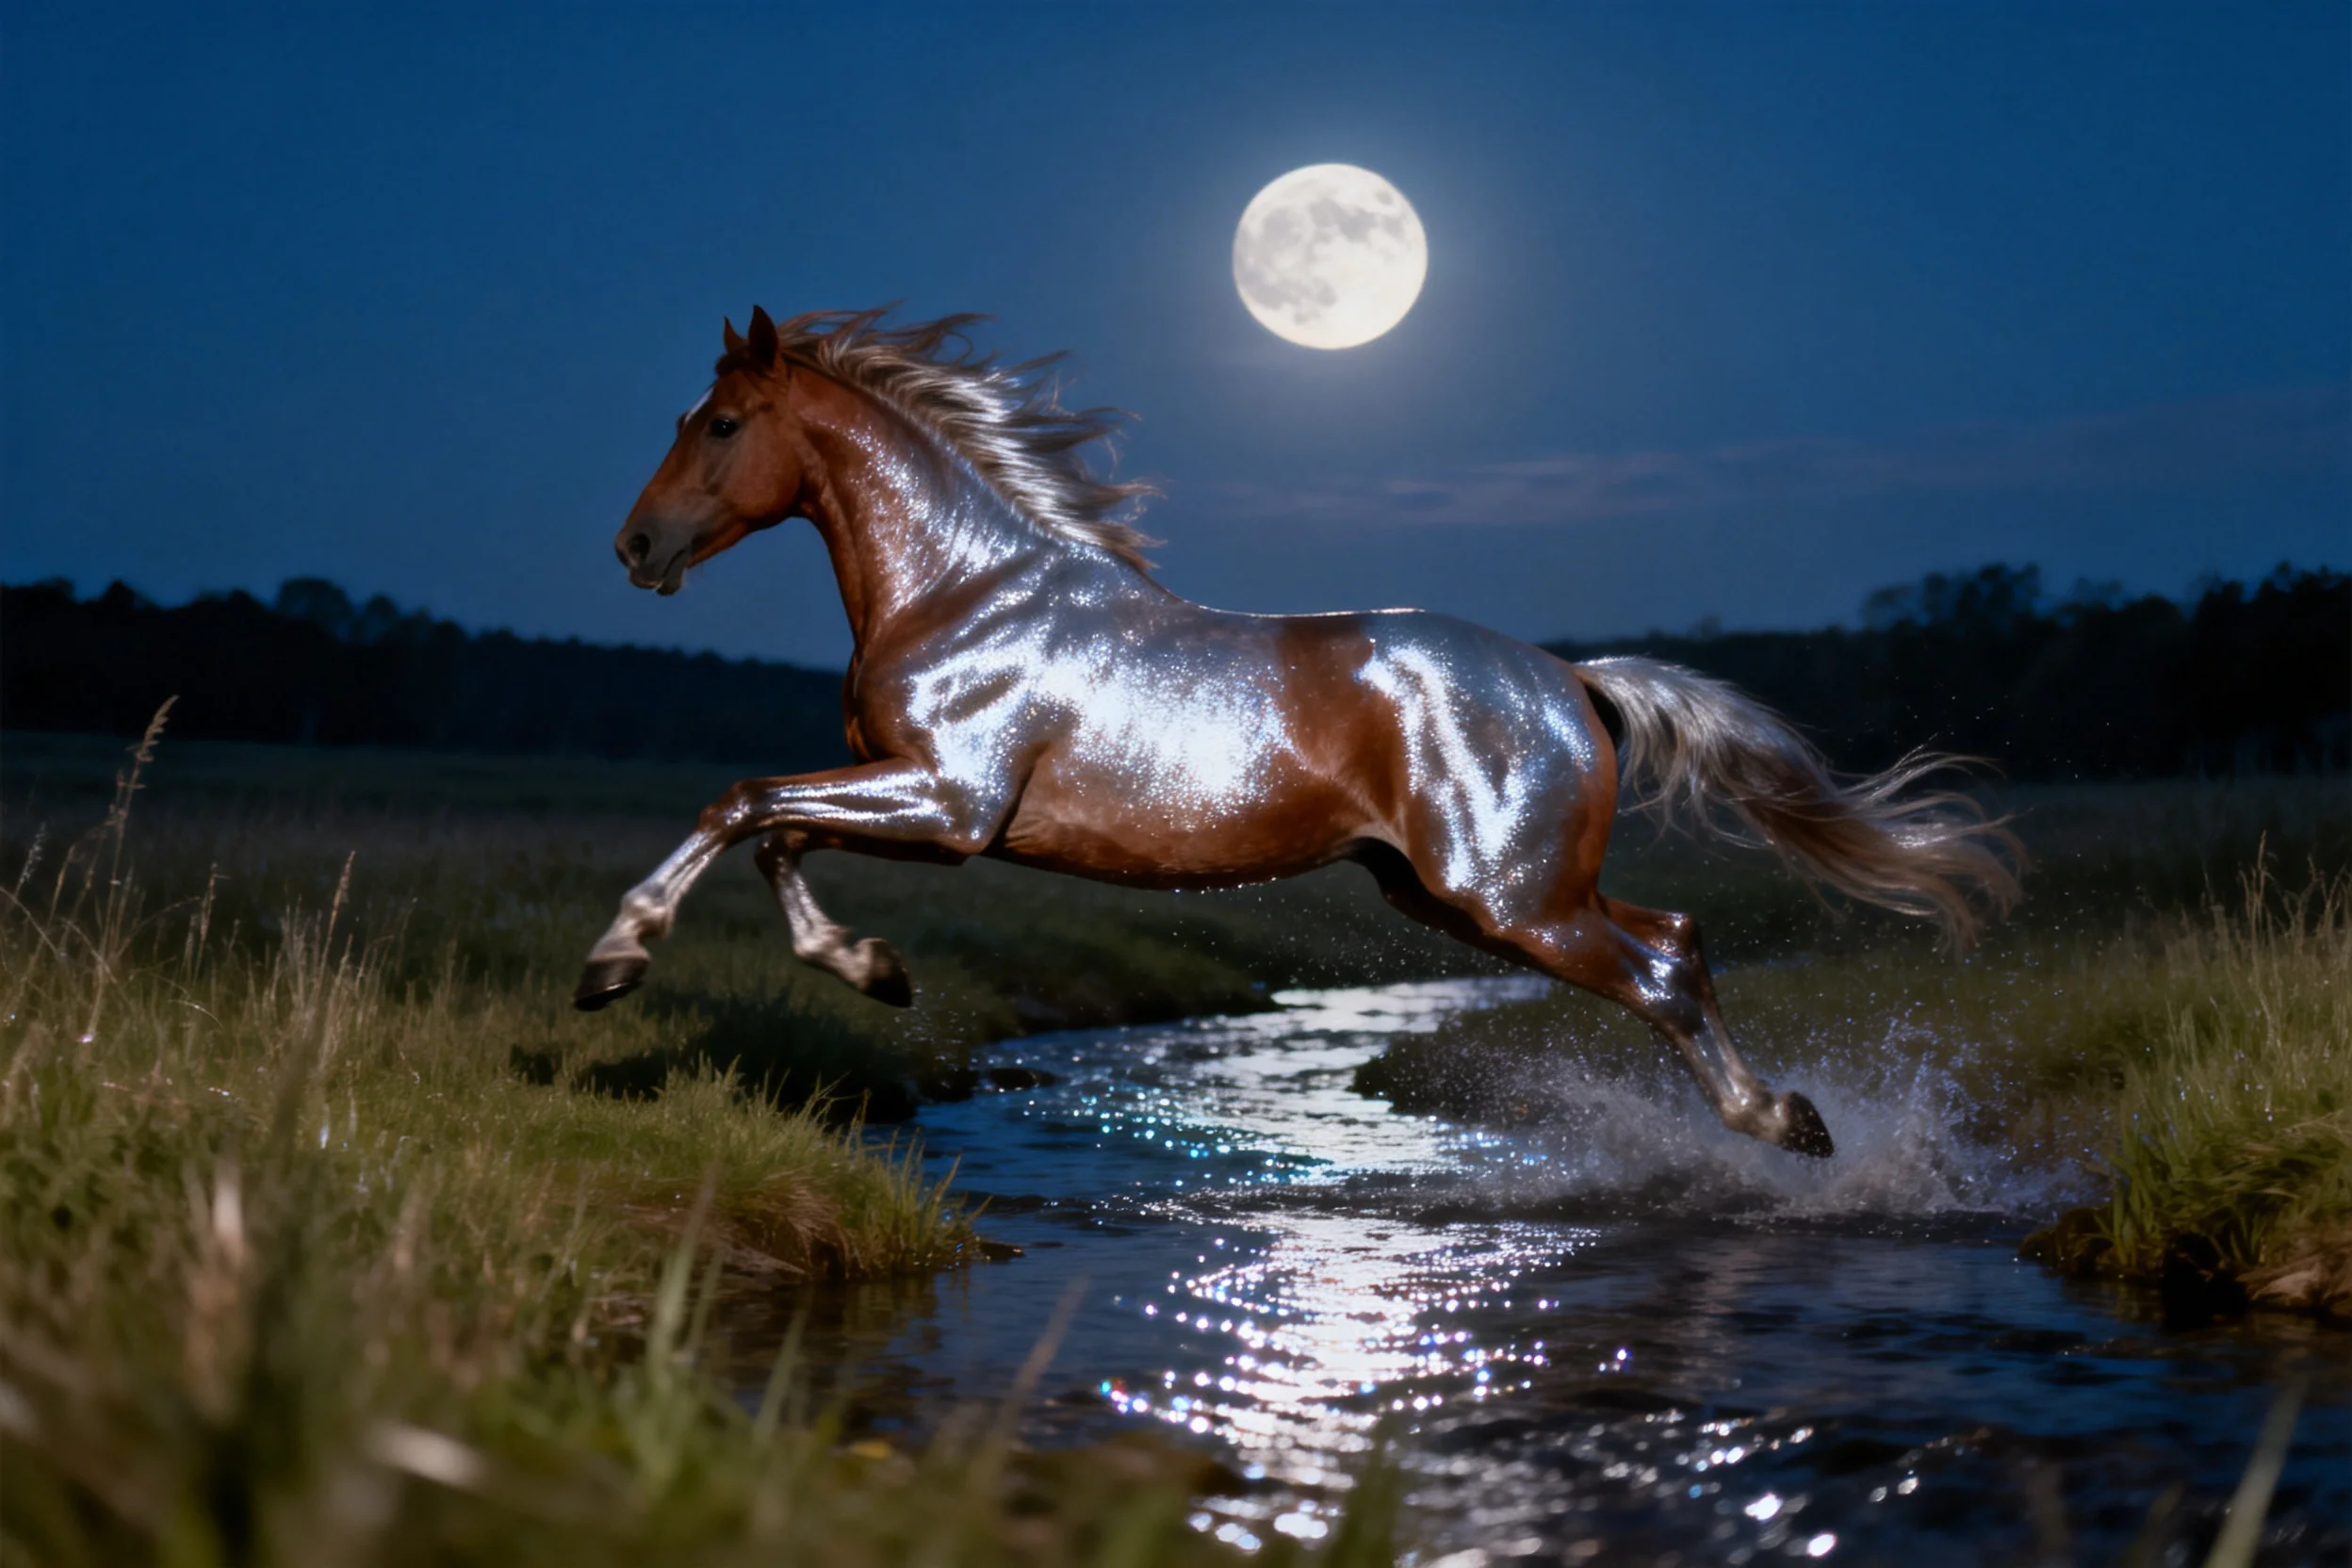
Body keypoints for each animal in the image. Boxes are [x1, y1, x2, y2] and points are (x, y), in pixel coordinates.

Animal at [576, 305, 2022, 1158]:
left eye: (722, 423)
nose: (634, 548)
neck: (962, 587)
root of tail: (1572, 679)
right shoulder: (912, 796)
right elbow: (773, 830)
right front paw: (874, 970)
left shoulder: (950, 802)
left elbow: (739, 800)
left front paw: (613, 963)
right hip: (1464, 897)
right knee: (1678, 939)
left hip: (1509, 899)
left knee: (1662, 973)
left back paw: (1787, 1125)